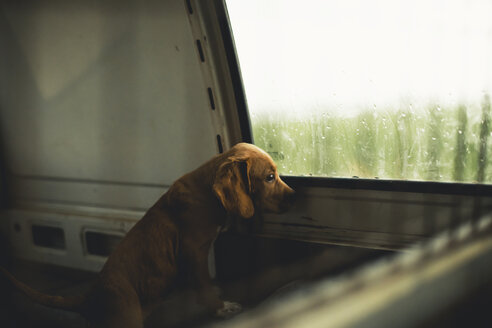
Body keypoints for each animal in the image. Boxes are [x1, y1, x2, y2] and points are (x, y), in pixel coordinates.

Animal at [0, 144, 294, 328]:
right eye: (269, 177)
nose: (296, 196)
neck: (206, 191)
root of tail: (88, 298)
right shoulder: (193, 251)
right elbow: (203, 283)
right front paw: (220, 308)